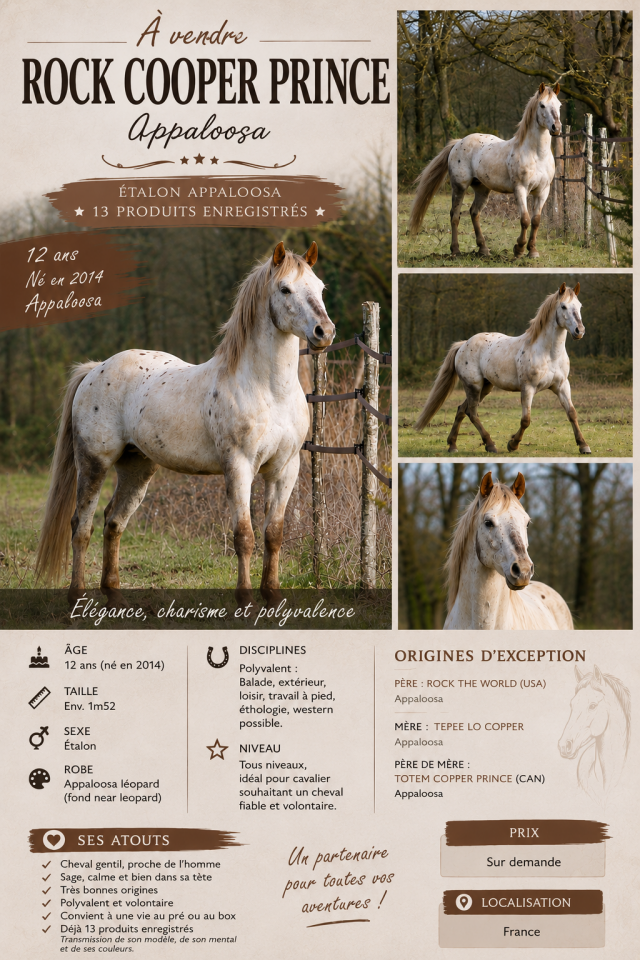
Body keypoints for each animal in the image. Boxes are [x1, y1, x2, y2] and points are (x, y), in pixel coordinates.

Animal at [34, 241, 335, 607]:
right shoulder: (239, 467)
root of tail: (96, 369)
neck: (269, 390)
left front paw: (273, 598)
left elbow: (273, 535)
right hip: (94, 463)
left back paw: (115, 596)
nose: (324, 332)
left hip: (137, 469)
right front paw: (245, 601)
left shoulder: (284, 469)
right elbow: (244, 537)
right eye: (285, 289)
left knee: (113, 522)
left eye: (320, 288)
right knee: (82, 526)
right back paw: (78, 598)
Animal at [409, 83, 561, 259]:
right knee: (455, 215)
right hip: (459, 187)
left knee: (474, 212)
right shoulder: (520, 189)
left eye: (559, 105)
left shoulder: (543, 191)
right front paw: (519, 249)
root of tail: (458, 143)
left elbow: (536, 221)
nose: (556, 128)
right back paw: (456, 250)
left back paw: (483, 249)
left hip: (482, 189)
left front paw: (533, 251)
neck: (536, 154)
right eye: (542, 105)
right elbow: (525, 219)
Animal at [414, 282, 591, 455]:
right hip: (473, 386)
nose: (579, 331)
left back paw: (452, 445)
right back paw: (490, 445)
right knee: (472, 412)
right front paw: (513, 444)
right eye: (563, 306)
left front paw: (583, 446)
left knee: (462, 410)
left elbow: (572, 414)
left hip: (485, 387)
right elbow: (526, 420)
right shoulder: (528, 388)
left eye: (580, 306)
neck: (549, 354)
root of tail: (463, 344)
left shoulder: (562, 386)